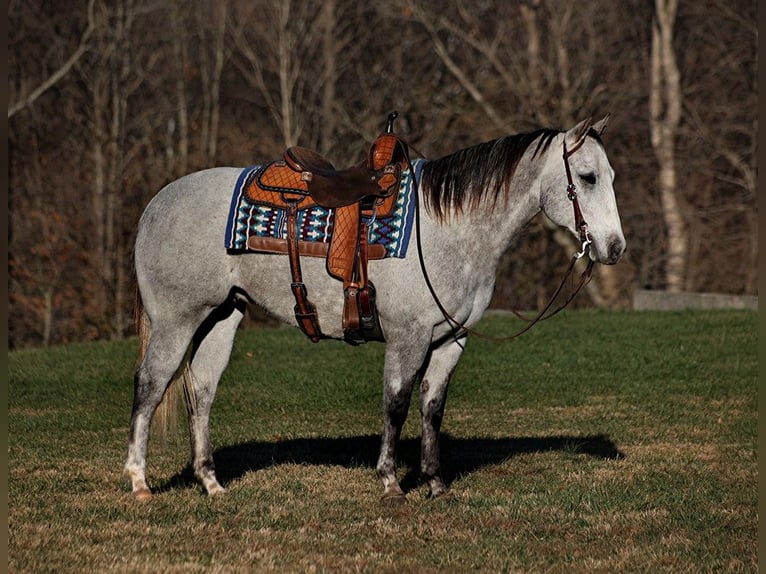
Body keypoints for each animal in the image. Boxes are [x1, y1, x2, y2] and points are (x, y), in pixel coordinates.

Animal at [126, 116, 628, 504]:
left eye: (611, 176)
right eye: (587, 177)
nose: (615, 248)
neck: (447, 227)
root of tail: (156, 204)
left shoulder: (451, 339)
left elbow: (432, 407)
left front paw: (435, 484)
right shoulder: (408, 337)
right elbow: (397, 404)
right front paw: (391, 483)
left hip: (221, 317)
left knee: (201, 391)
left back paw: (211, 484)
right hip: (175, 321)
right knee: (150, 387)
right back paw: (139, 482)